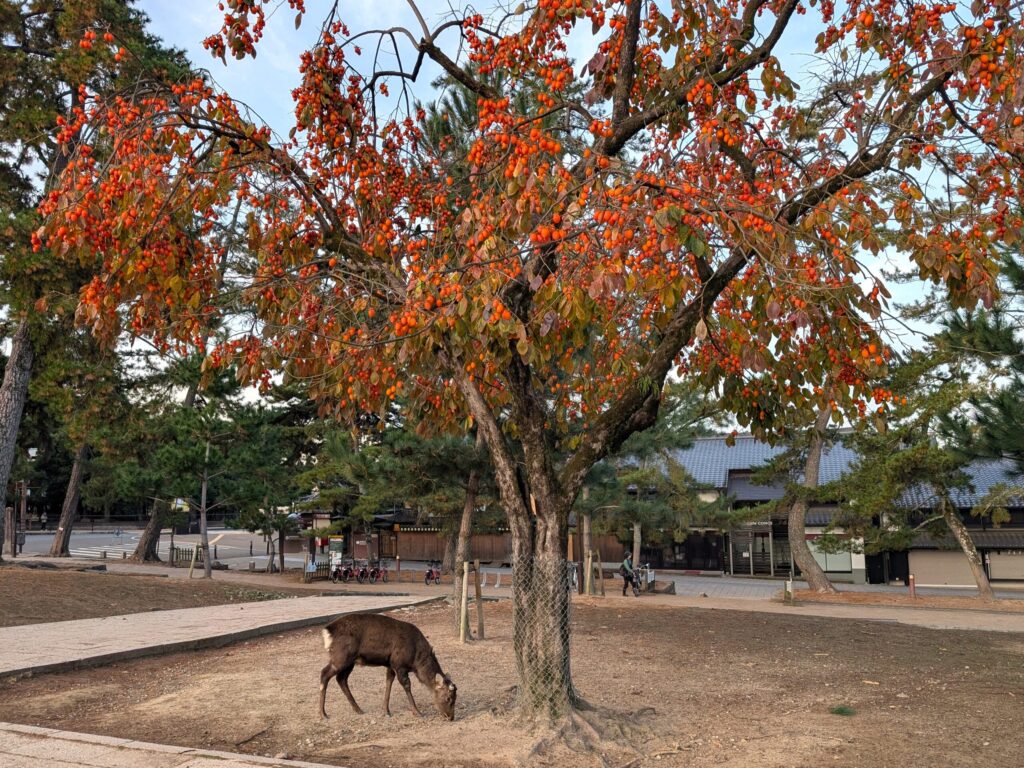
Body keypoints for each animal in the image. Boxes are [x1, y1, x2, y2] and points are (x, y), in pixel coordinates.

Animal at [319, 613, 457, 720]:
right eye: (448, 698)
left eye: (455, 697)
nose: (450, 717)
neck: (416, 661)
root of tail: (327, 631)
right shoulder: (399, 664)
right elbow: (406, 685)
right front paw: (417, 712)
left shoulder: (391, 665)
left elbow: (388, 683)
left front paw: (386, 711)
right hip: (341, 657)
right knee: (324, 673)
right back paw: (323, 714)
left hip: (349, 662)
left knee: (341, 679)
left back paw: (358, 709)